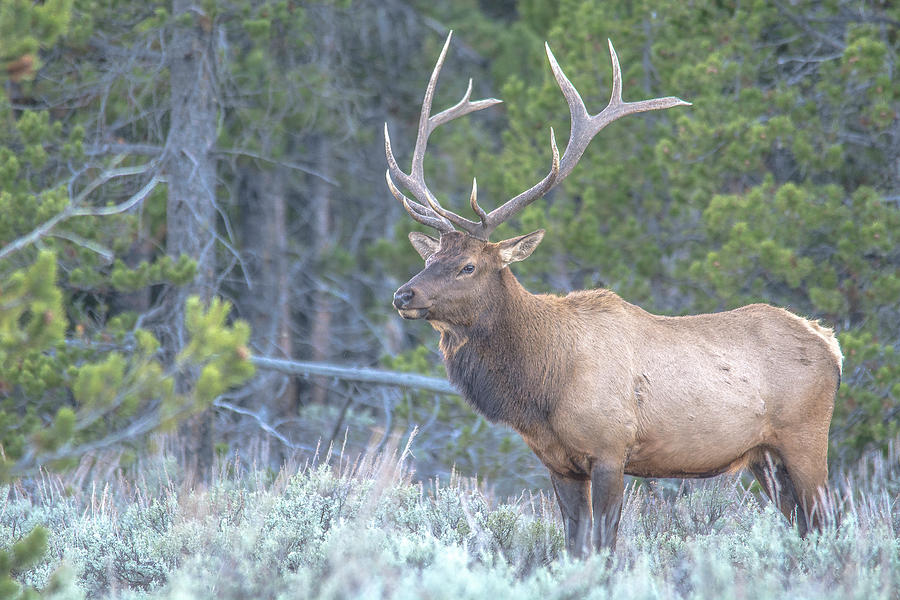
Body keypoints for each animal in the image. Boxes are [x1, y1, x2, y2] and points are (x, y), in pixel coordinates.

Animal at [384, 34, 840, 556]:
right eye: (429, 258)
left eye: (468, 266)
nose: (404, 294)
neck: (542, 384)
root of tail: (831, 343)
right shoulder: (558, 463)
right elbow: (575, 544)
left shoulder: (609, 449)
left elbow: (603, 545)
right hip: (765, 457)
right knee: (803, 524)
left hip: (807, 436)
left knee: (828, 521)